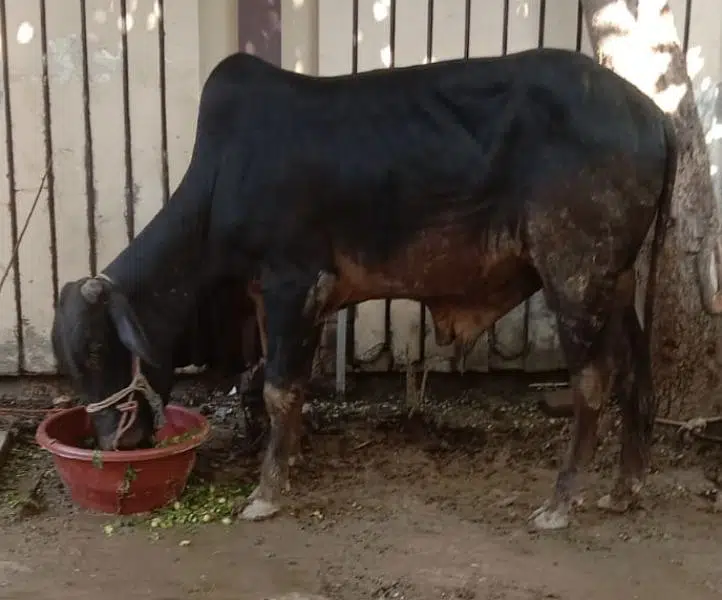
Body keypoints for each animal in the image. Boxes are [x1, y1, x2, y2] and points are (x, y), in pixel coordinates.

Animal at [52, 47, 679, 531]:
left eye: (98, 349)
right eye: (72, 360)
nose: (116, 445)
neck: (219, 185)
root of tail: (653, 114)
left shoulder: (294, 283)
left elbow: (278, 390)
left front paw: (265, 494)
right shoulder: (272, 302)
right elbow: (274, 388)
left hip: (574, 274)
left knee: (593, 380)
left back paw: (559, 504)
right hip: (616, 280)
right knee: (635, 371)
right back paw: (624, 489)